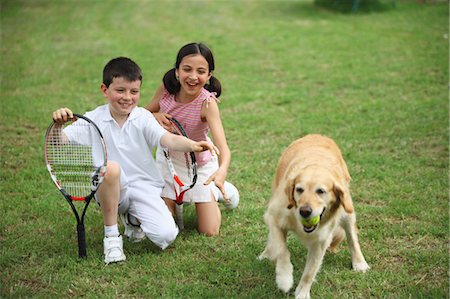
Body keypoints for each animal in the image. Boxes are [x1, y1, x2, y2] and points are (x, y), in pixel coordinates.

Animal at [258, 135, 370, 298]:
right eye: (299, 189)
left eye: (320, 191)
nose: (305, 211)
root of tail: (318, 135)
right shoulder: (274, 217)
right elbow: (282, 250)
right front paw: (284, 278)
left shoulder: (321, 241)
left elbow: (309, 272)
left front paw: (302, 293)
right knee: (273, 240)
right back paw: (266, 254)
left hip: (347, 210)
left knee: (352, 238)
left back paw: (360, 263)